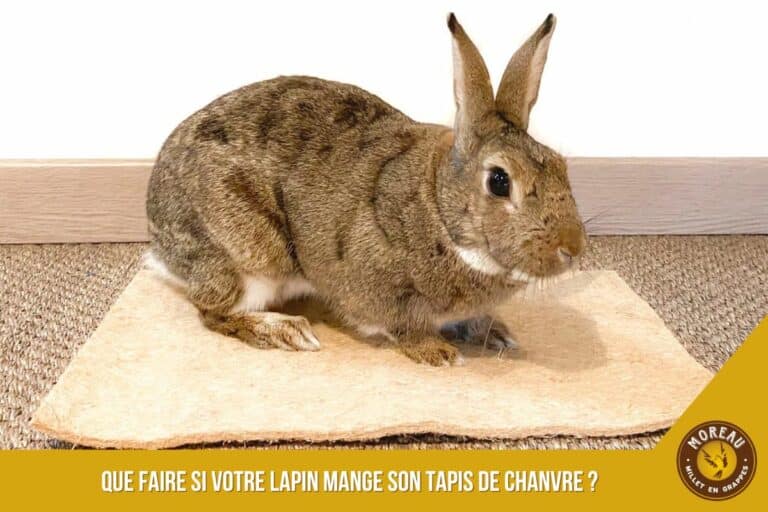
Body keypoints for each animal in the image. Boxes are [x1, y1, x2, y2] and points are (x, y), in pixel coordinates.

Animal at [145, 13, 586, 366]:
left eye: (560, 165)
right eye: (499, 181)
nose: (573, 249)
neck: (440, 210)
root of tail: (159, 242)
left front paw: (497, 334)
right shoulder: (384, 288)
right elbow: (405, 325)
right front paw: (438, 353)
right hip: (251, 255)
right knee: (213, 312)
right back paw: (287, 331)